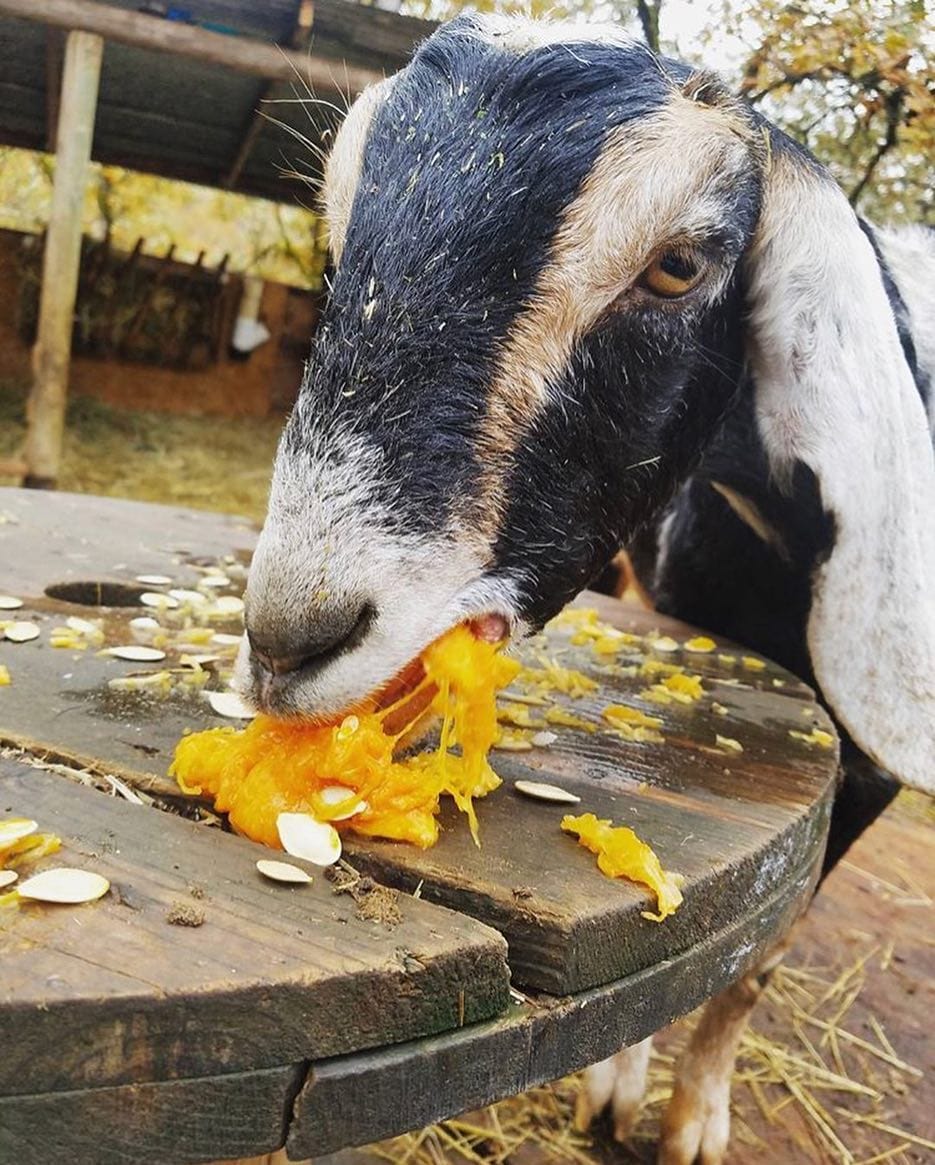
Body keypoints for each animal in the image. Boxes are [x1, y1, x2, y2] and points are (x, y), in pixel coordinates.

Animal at [236, 15, 935, 1163]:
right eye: (340, 236)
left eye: (679, 265)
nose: (292, 637)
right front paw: (615, 1083)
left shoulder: (866, 764)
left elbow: (757, 951)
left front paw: (692, 1115)